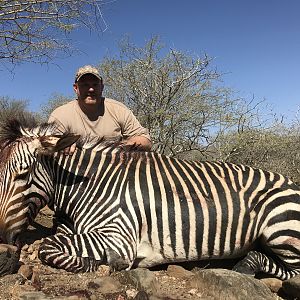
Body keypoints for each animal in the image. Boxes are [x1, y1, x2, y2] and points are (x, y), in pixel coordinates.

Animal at [0, 118, 300, 278]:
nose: (3, 236)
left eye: (23, 174)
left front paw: (94, 263)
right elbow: (52, 242)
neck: (92, 184)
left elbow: (47, 246)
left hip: (279, 229)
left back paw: (244, 267)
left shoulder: (118, 237)